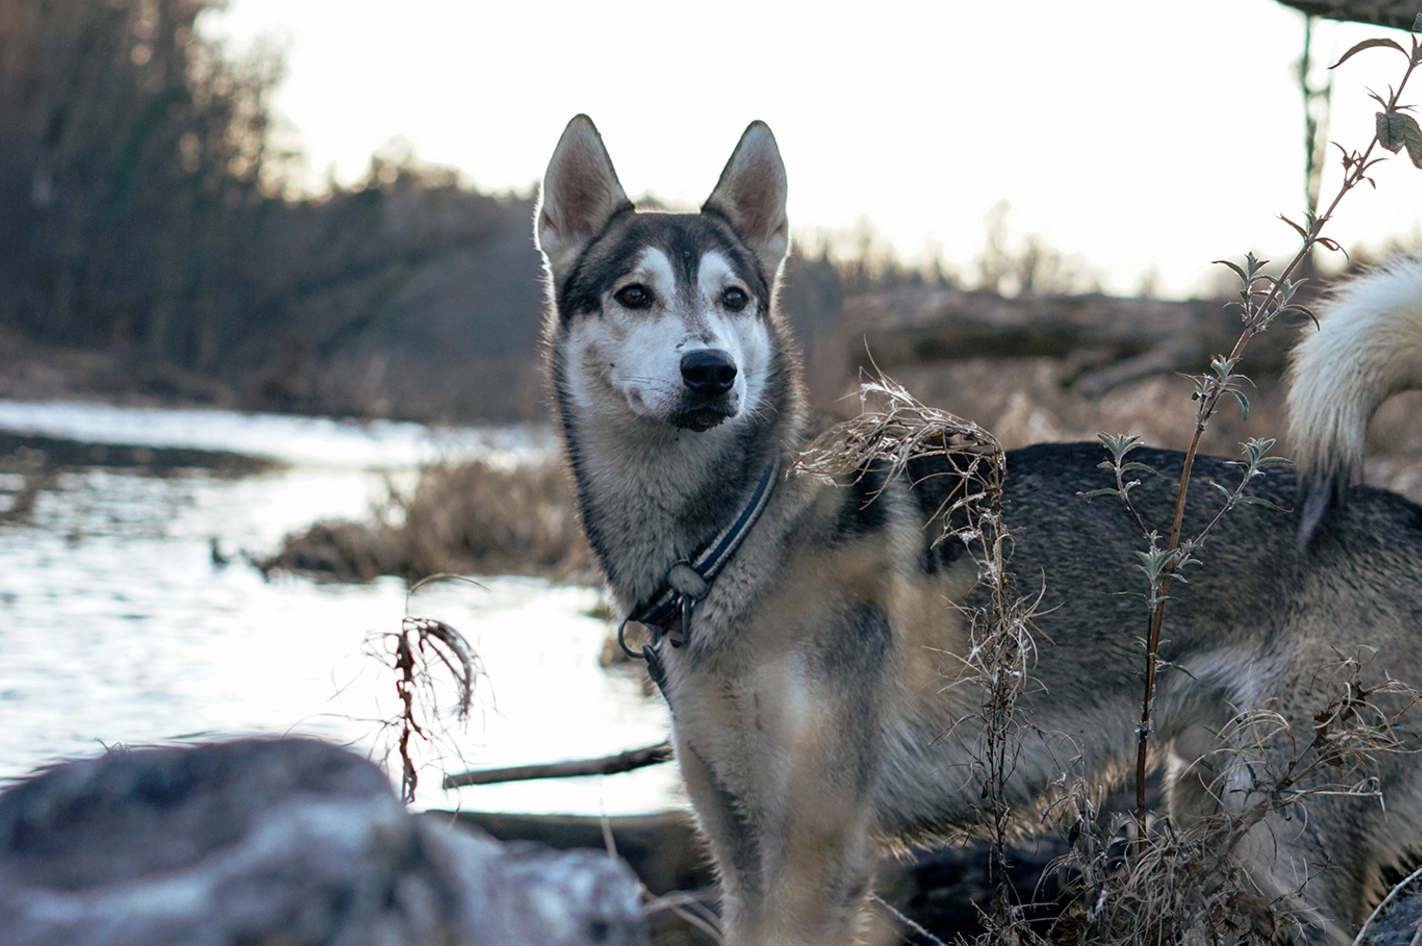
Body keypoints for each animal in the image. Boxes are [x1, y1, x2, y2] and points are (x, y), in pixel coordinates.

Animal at [534, 114, 1422, 938]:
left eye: (734, 299)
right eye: (634, 295)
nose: (711, 370)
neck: (732, 544)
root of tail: (1405, 510)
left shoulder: (816, 859)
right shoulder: (741, 857)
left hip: (1282, 833)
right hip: (1212, 813)